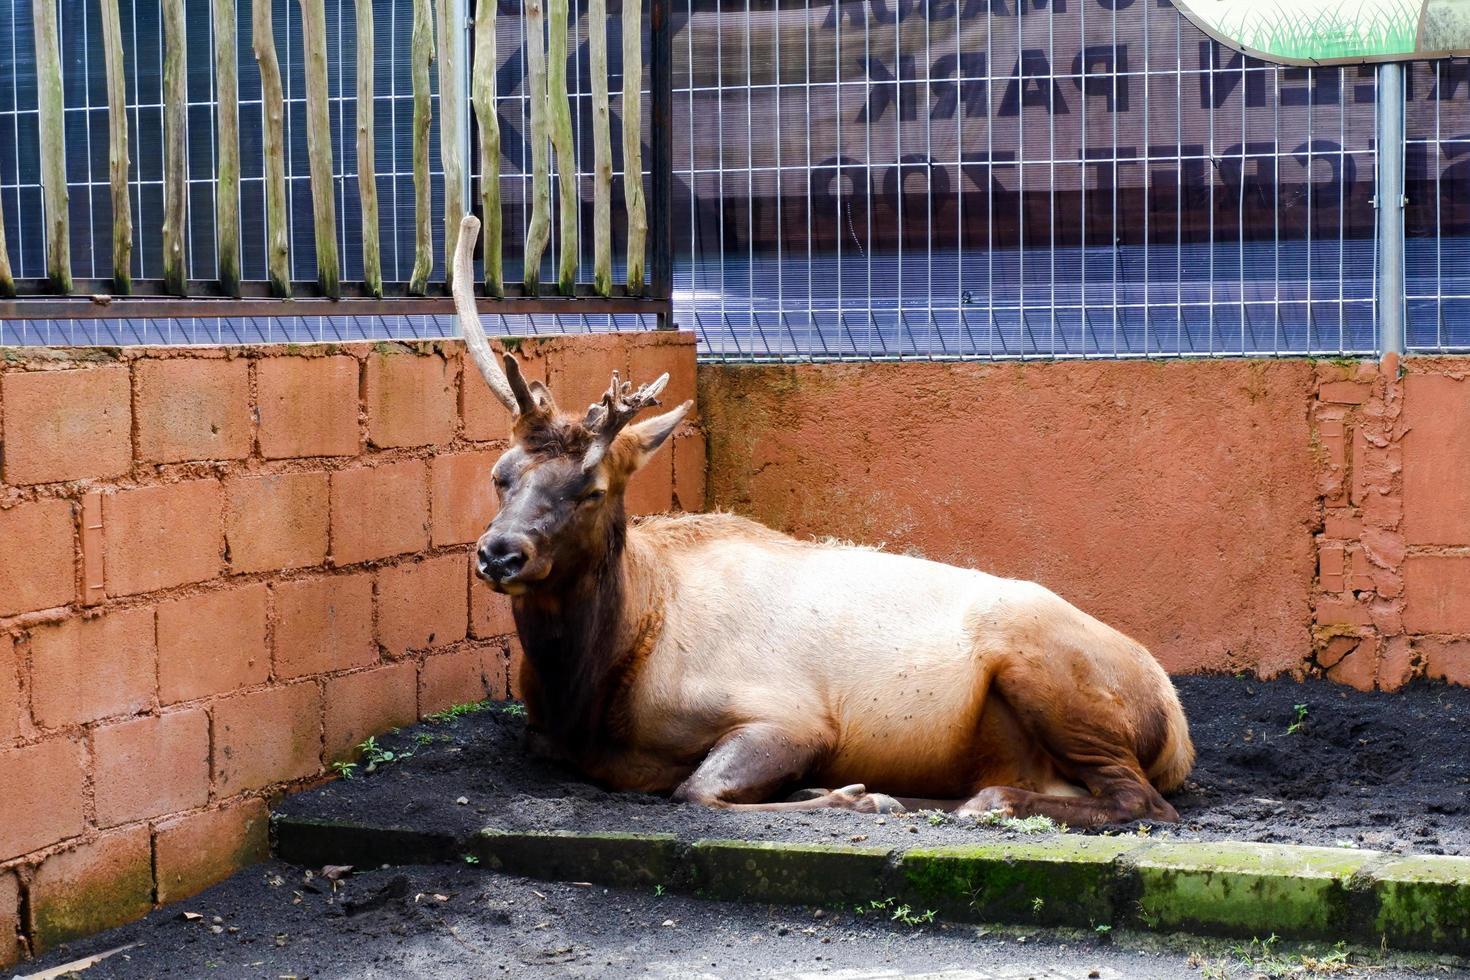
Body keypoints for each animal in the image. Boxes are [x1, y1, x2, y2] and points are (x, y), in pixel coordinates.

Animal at [449, 214, 1193, 828]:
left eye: (592, 488)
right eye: (499, 473)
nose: (499, 553)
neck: (593, 681)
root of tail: (1177, 728)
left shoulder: (793, 717)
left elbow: (699, 789)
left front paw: (855, 795)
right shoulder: (546, 733)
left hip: (1045, 664)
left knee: (1143, 802)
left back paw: (982, 802)